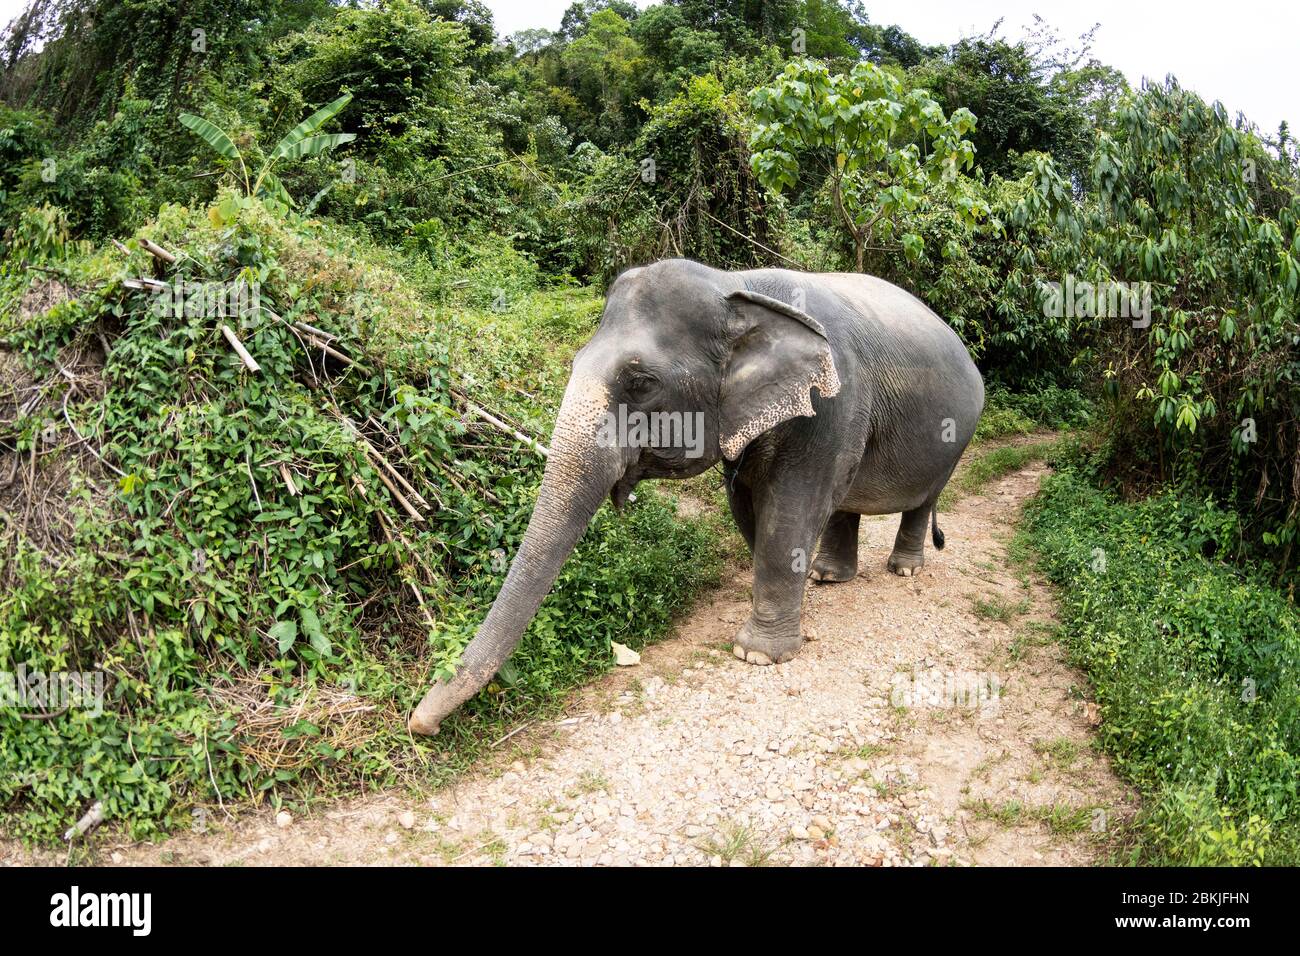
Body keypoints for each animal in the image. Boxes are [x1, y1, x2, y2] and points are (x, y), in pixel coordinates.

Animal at [410, 257, 977, 738]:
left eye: (641, 382)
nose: (421, 725)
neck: (739, 286)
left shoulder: (832, 406)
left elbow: (790, 516)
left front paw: (758, 656)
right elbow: (749, 508)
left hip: (956, 436)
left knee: (922, 499)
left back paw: (903, 569)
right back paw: (828, 576)